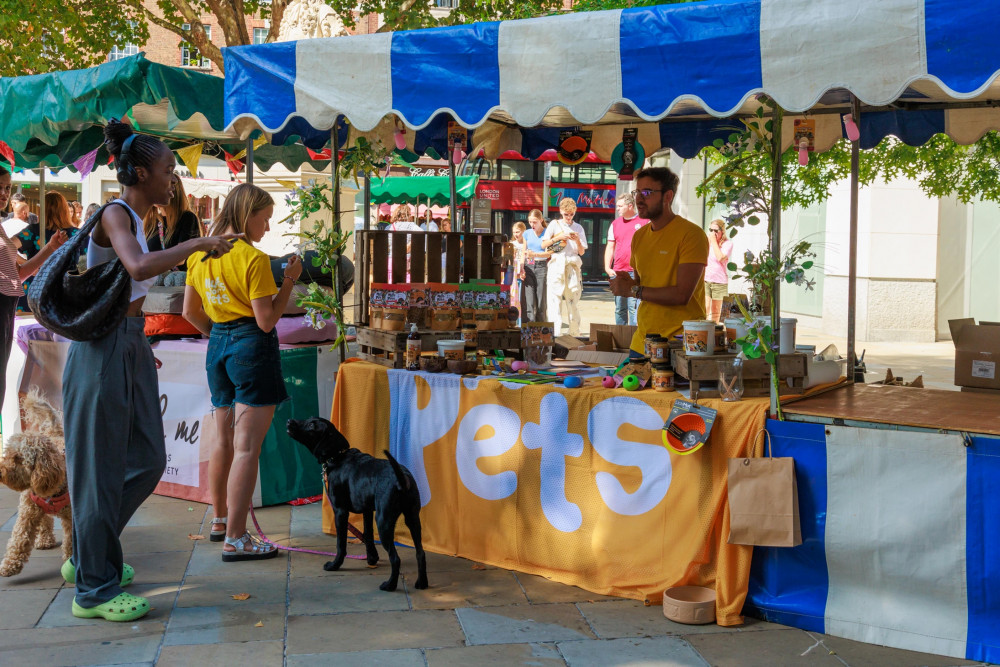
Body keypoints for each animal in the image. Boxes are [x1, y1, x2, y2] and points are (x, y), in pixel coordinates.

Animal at [0, 388, 70, 576]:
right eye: (7, 454)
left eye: (18, 458)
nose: (0, 472)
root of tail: (54, 434)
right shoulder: (27, 512)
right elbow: (19, 538)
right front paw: (9, 565)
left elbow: (71, 540)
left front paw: (71, 561)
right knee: (45, 519)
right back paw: (45, 539)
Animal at [290, 414, 430, 592]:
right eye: (309, 420)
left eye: (311, 426)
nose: (289, 422)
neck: (338, 456)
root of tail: (402, 479)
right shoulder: (367, 510)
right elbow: (367, 534)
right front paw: (372, 558)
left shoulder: (340, 511)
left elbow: (341, 543)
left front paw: (335, 565)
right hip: (412, 519)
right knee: (420, 552)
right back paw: (422, 583)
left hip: (384, 522)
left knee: (395, 558)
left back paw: (390, 585)